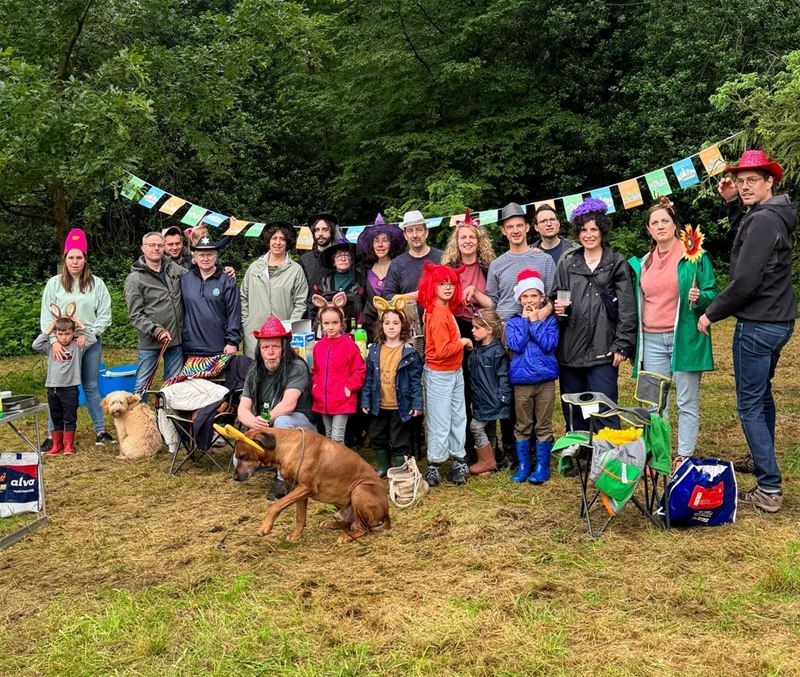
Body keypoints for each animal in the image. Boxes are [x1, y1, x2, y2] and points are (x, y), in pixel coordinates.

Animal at [233, 428, 392, 544]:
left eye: (243, 456)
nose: (235, 478)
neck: (288, 447)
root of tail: (386, 511)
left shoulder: (306, 488)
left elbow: (276, 505)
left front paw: (265, 526)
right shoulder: (299, 490)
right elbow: (300, 517)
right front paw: (296, 536)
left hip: (359, 489)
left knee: (364, 529)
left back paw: (347, 537)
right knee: (351, 523)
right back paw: (332, 524)